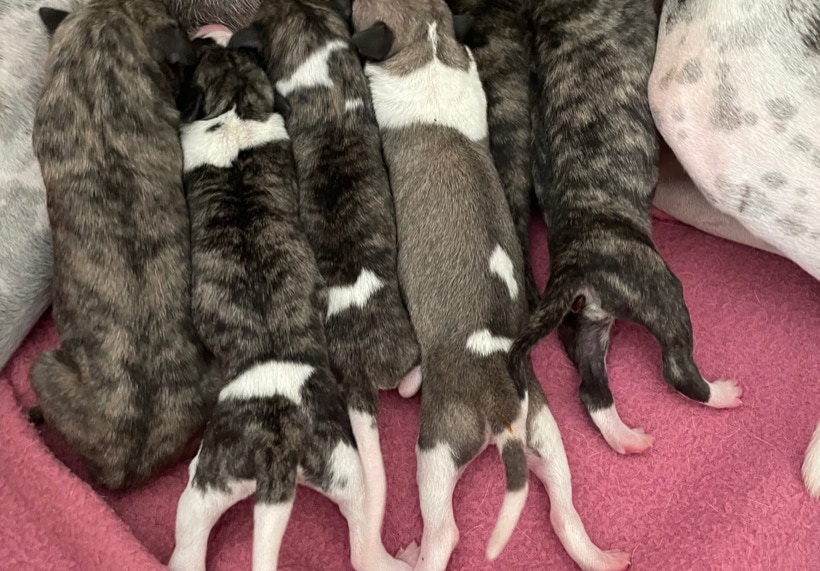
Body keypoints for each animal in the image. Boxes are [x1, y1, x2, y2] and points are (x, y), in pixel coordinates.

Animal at [167, 29, 407, 571]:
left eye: (200, 56)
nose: (210, 32)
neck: (235, 109)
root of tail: (277, 456)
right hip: (341, 465)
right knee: (362, 543)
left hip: (203, 488)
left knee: (187, 546)